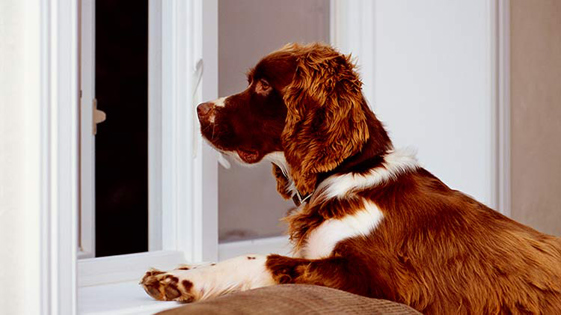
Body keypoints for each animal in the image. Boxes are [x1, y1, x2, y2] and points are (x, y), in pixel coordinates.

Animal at [141, 43, 560, 314]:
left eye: (263, 85)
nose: (200, 108)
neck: (348, 173)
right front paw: (175, 271)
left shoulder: (376, 282)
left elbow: (261, 259)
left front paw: (180, 281)